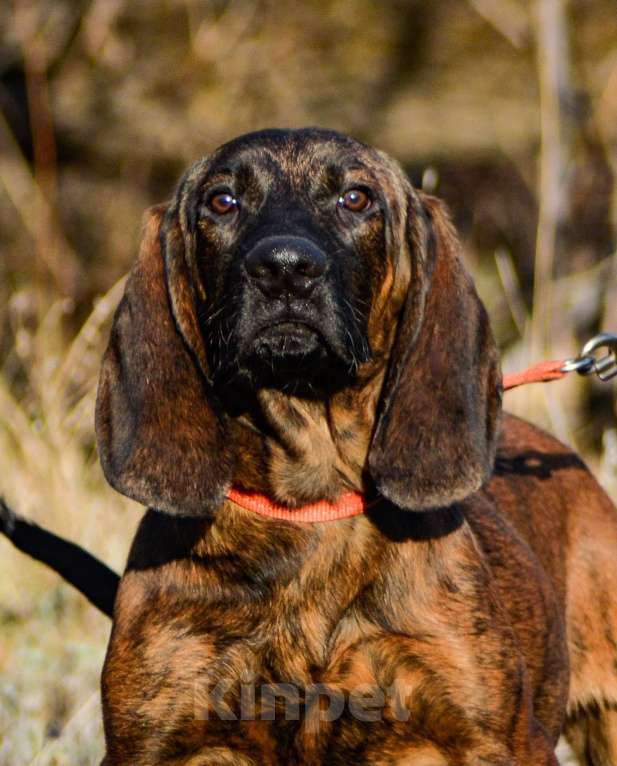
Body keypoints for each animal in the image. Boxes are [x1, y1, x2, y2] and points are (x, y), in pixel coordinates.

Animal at [3, 129, 616, 764]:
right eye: (222, 201)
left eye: (356, 198)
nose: (285, 269)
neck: (313, 505)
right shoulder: (157, 742)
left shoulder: (490, 741)